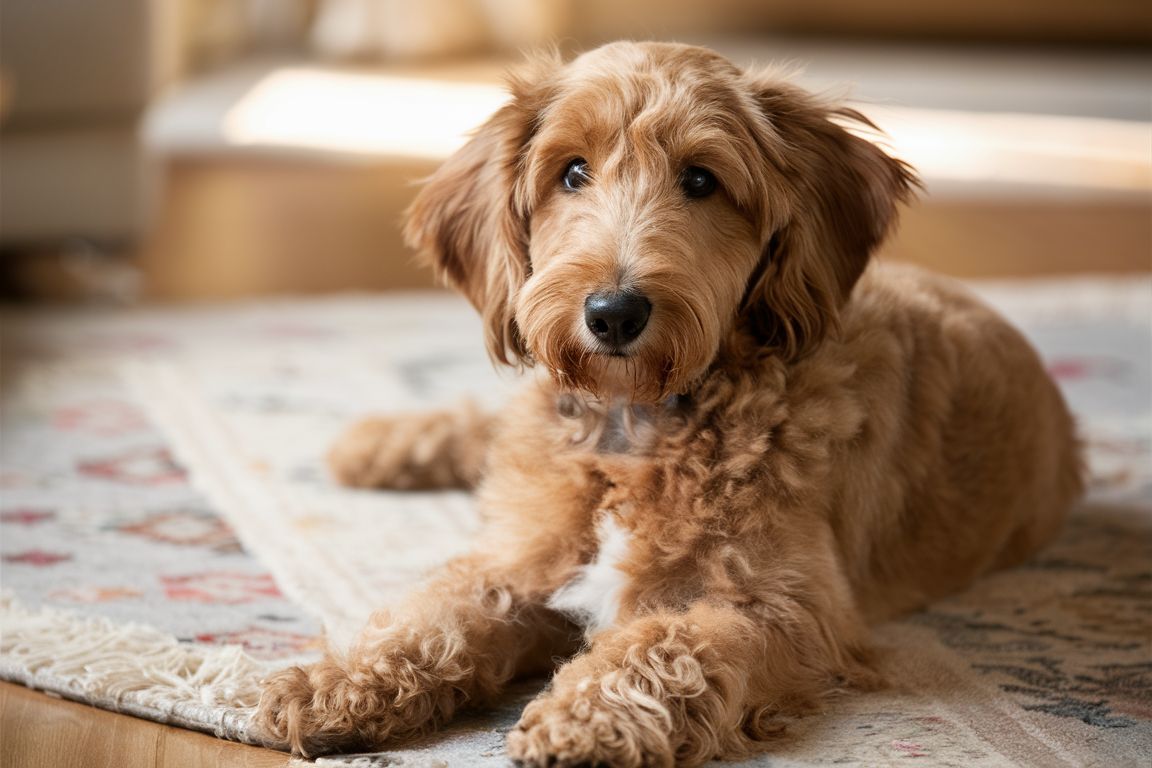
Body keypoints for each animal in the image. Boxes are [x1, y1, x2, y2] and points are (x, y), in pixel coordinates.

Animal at [254, 40, 1087, 764]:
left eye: (701, 180)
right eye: (572, 172)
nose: (613, 313)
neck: (641, 426)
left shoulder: (785, 607)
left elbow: (668, 644)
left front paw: (585, 716)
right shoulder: (526, 559)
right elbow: (436, 614)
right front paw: (332, 684)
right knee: (486, 429)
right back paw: (377, 444)